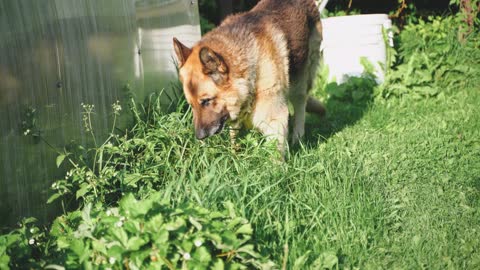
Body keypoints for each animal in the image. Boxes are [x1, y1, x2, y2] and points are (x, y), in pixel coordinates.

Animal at [171, 0, 324, 154]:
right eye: (191, 104)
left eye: (206, 101)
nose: (199, 136)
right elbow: (234, 136)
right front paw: (234, 154)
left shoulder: (275, 119)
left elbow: (274, 154)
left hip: (299, 81)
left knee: (300, 107)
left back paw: (298, 138)